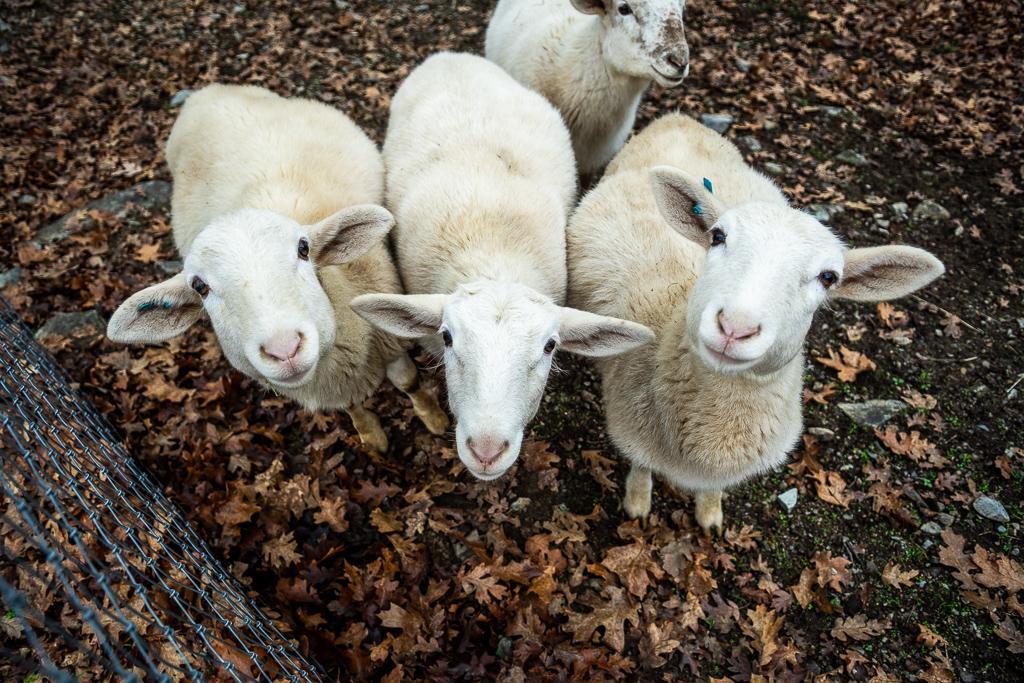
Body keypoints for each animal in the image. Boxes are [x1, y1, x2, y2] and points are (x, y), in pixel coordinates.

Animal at [106, 84, 449, 452]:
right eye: (200, 286)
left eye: (303, 249)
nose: (284, 350)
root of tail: (208, 90)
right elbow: (352, 408)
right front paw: (371, 435)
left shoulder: (389, 342)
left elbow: (408, 381)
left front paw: (433, 418)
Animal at [566, 113, 946, 532]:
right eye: (717, 236)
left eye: (828, 277)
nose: (735, 327)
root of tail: (679, 118)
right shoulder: (630, 426)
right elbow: (640, 466)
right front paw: (637, 502)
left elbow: (712, 491)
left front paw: (710, 514)